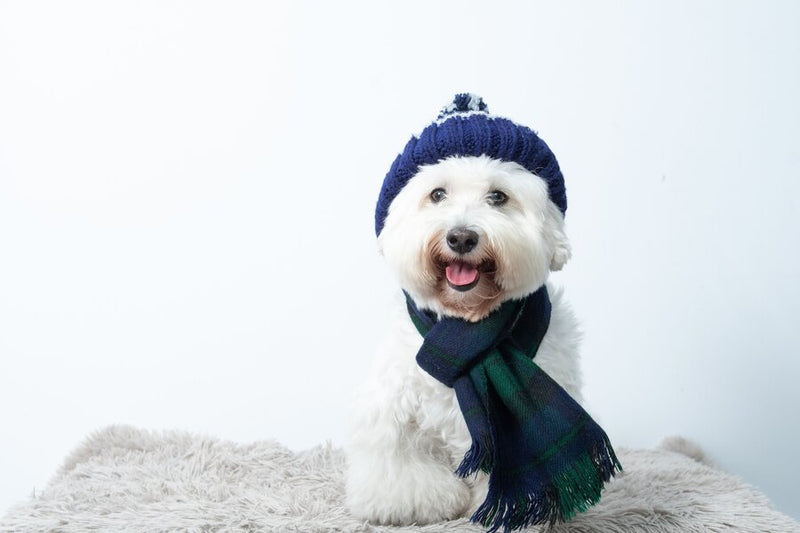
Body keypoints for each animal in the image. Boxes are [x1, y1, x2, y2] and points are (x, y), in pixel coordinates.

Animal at [344, 94, 588, 524]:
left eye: (499, 197)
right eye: (437, 194)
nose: (460, 237)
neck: (467, 325)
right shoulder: (393, 408)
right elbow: (400, 462)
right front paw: (415, 503)